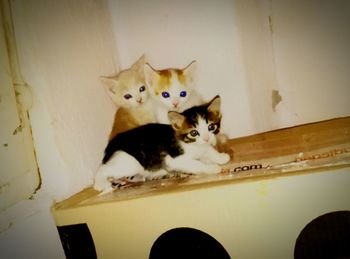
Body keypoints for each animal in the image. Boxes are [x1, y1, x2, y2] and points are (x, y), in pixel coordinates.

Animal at [93, 96, 230, 194]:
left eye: (211, 127)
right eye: (194, 133)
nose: (206, 138)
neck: (191, 143)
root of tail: (113, 142)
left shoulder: (203, 147)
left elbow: (208, 151)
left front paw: (221, 157)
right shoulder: (174, 159)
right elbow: (196, 164)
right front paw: (212, 168)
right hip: (130, 163)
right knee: (104, 168)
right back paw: (99, 184)